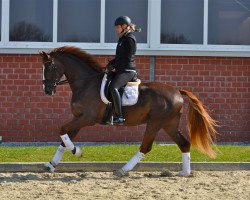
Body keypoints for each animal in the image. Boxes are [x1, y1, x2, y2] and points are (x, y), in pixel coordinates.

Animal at [39, 45, 217, 177]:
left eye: (50, 67)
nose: (47, 90)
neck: (85, 83)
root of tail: (177, 92)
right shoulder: (78, 118)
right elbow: (65, 138)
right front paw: (51, 164)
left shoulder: (87, 118)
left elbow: (62, 130)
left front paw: (77, 152)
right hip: (169, 124)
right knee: (184, 143)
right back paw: (185, 172)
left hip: (155, 123)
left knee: (146, 147)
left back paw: (122, 170)